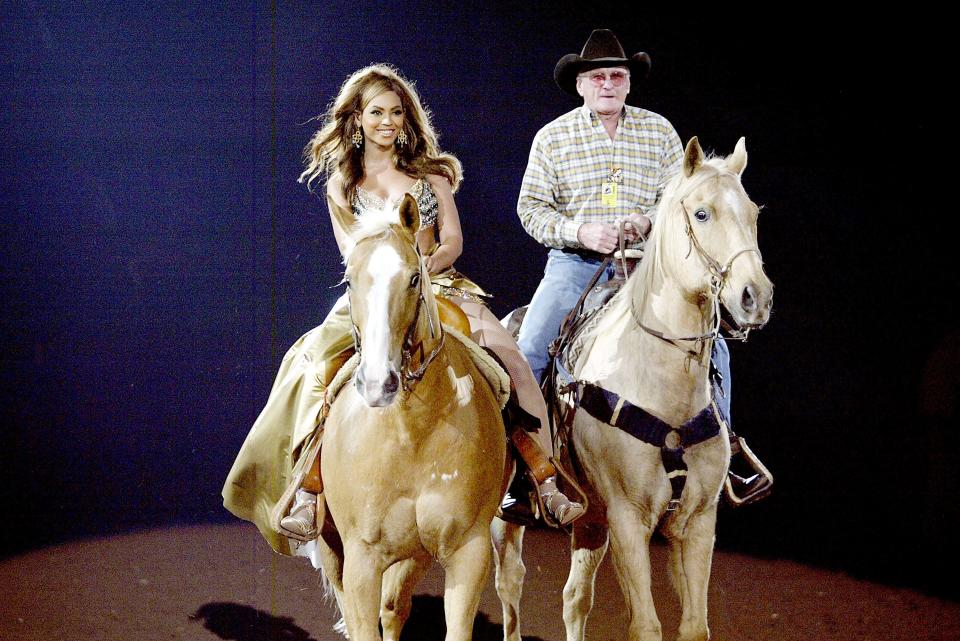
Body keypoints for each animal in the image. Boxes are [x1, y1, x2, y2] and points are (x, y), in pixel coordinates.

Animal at [316, 195, 510, 640]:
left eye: (413, 279)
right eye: (349, 281)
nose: (377, 383)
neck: (412, 433)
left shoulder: (468, 552)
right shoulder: (360, 561)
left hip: (416, 553)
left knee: (394, 607)